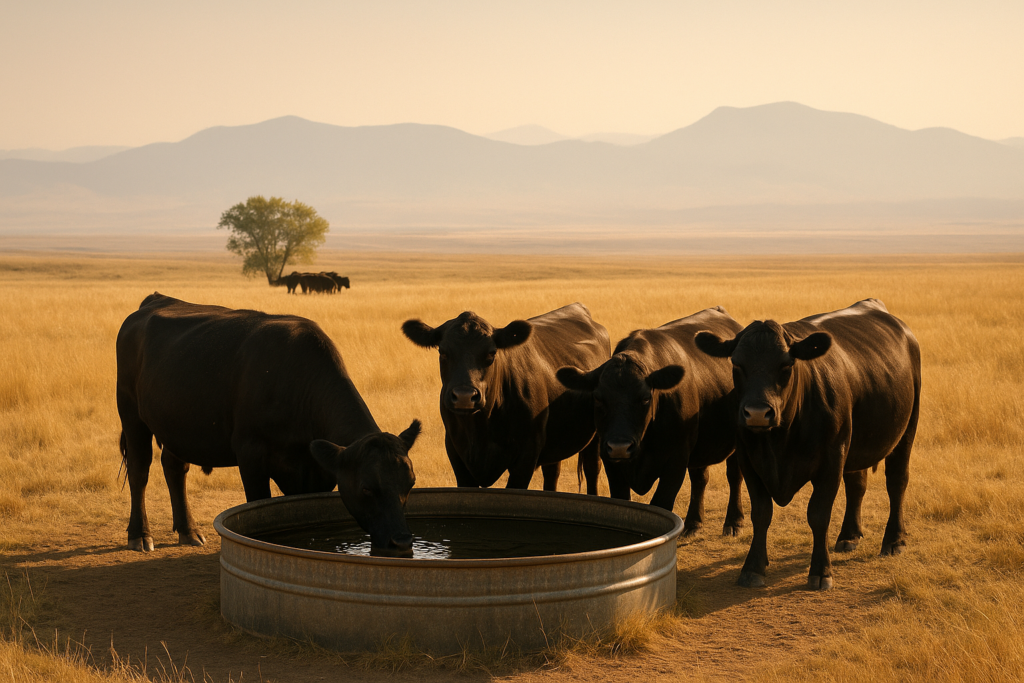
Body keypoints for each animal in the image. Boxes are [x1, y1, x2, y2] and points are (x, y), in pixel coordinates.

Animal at [116, 293, 422, 556]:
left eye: (410, 483)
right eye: (367, 488)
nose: (401, 541)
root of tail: (155, 300)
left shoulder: (318, 473)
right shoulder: (251, 455)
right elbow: (256, 503)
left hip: (177, 425)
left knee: (175, 468)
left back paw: (188, 531)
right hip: (131, 412)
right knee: (140, 471)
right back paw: (140, 535)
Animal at [402, 303, 610, 492]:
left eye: (491, 353)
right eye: (443, 352)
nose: (464, 396)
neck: (481, 427)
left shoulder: (527, 454)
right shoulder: (456, 453)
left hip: (595, 437)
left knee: (592, 469)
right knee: (552, 472)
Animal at [556, 307, 745, 536]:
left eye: (645, 398)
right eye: (598, 398)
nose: (620, 446)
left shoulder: (676, 461)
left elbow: (661, 504)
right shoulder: (610, 461)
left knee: (734, 475)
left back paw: (734, 522)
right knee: (700, 478)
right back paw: (693, 523)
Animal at [694, 299, 921, 590]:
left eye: (786, 365)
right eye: (736, 364)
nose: (757, 413)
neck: (779, 441)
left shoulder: (831, 461)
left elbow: (818, 514)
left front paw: (821, 571)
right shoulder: (749, 461)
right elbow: (761, 514)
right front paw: (753, 567)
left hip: (906, 430)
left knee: (896, 481)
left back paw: (894, 540)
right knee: (857, 485)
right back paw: (849, 535)